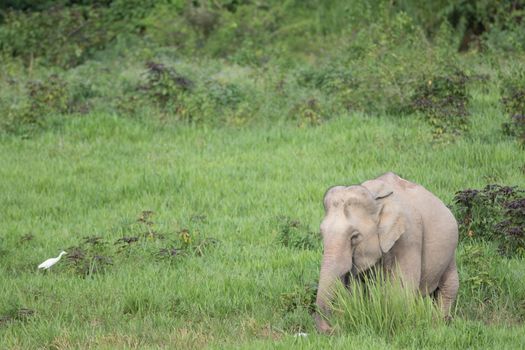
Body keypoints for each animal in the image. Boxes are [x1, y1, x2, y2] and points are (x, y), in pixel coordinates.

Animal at [314, 172, 456, 334]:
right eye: (322, 233)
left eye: (354, 236)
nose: (335, 328)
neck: (375, 198)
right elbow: (355, 289)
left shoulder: (409, 236)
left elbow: (402, 290)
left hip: (451, 253)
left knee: (449, 287)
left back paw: (439, 322)